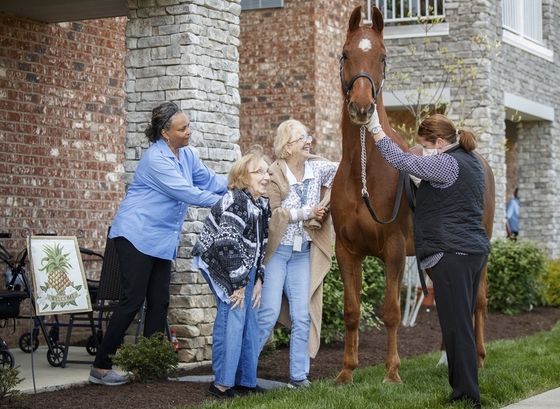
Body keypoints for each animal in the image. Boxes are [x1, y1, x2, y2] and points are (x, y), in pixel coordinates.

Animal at [330, 4, 496, 384]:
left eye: (383, 56)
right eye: (345, 54)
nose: (362, 108)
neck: (364, 174)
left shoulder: (393, 250)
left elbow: (391, 311)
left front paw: (392, 373)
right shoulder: (346, 251)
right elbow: (351, 310)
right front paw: (346, 372)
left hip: (480, 250)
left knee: (478, 300)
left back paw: (479, 359)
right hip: (432, 256)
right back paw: (446, 358)